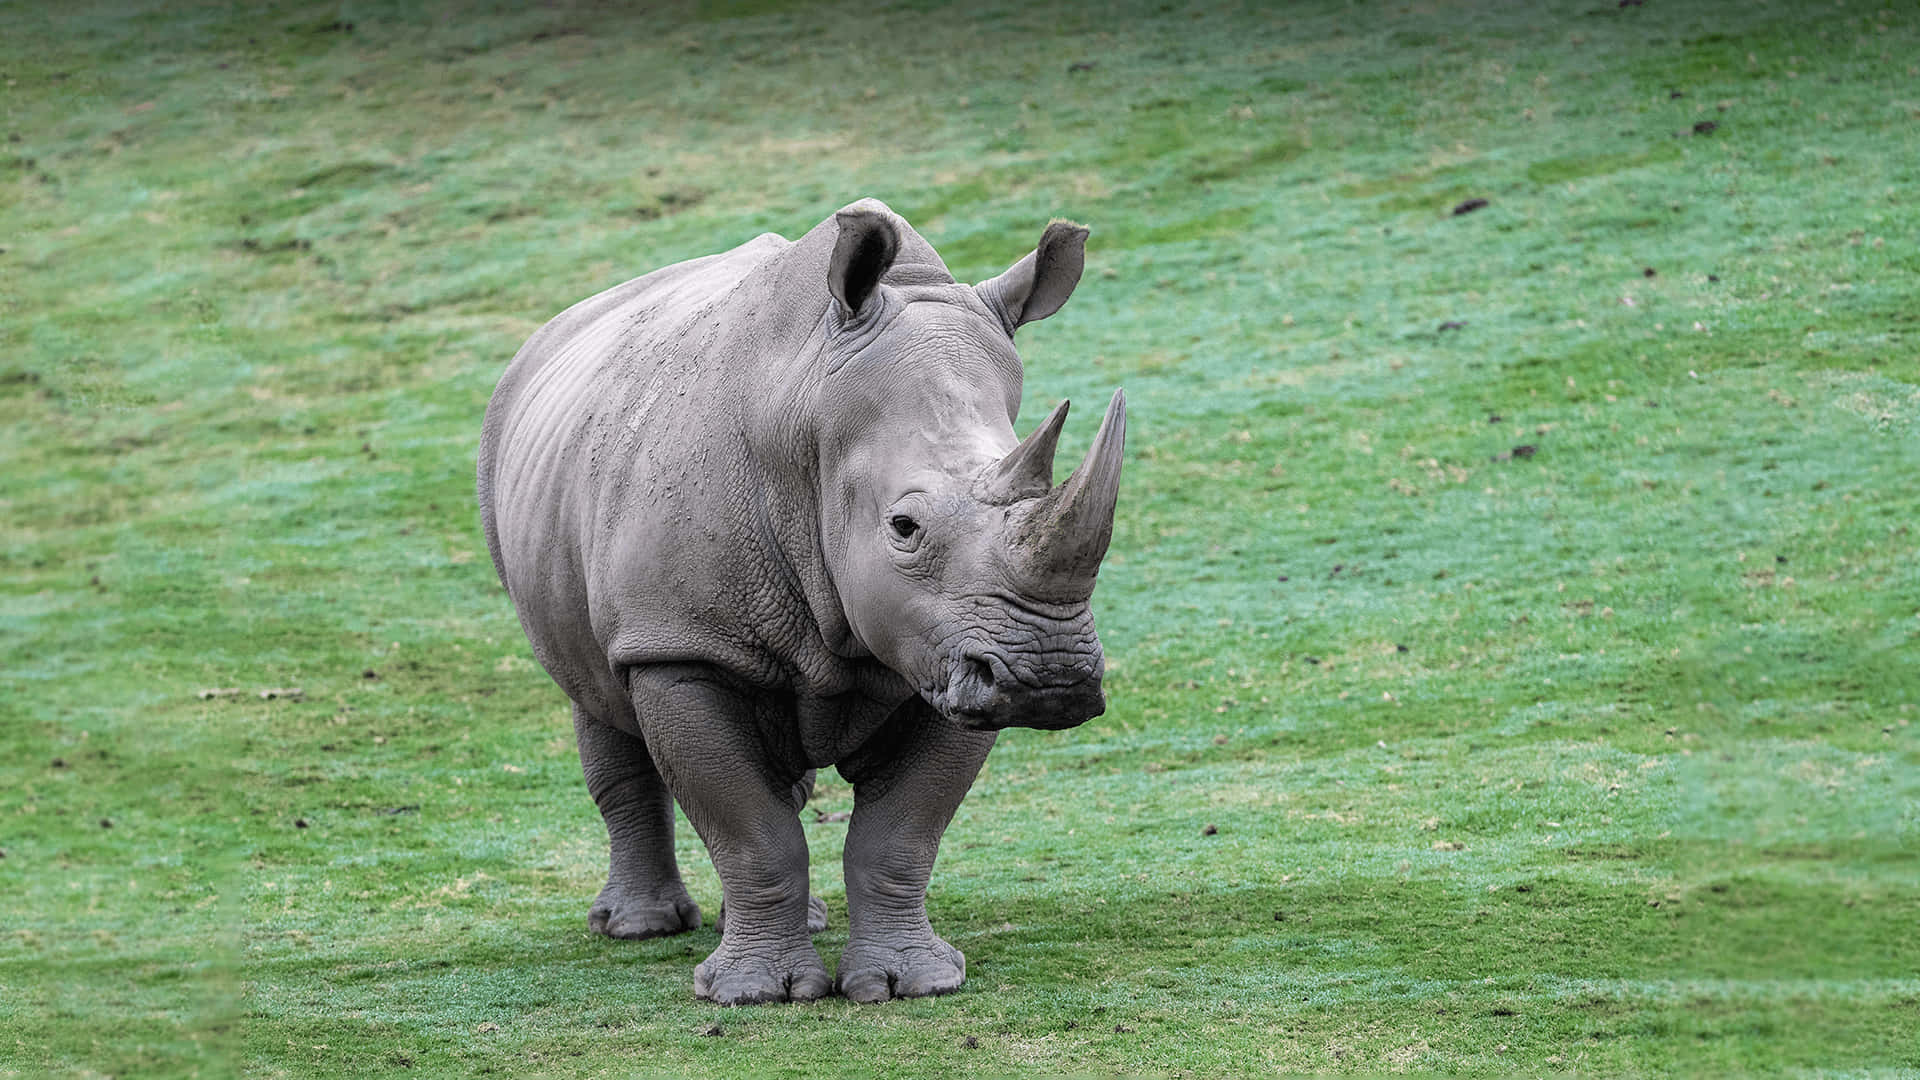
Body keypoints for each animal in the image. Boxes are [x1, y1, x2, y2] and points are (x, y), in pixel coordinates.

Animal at [476, 198, 1126, 1005]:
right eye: (903, 527)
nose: (1051, 677)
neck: (807, 421)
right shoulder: (680, 644)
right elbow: (750, 831)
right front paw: (755, 995)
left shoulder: (950, 651)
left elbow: (901, 833)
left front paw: (911, 983)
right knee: (594, 694)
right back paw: (638, 928)